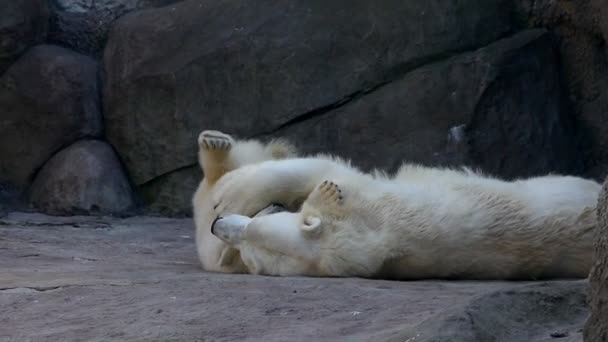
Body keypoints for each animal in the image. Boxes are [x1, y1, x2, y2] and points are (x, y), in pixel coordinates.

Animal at [211, 156, 600, 280]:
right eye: (251, 258)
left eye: (251, 229)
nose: (218, 228)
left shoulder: (363, 204)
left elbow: (325, 171)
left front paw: (228, 192)